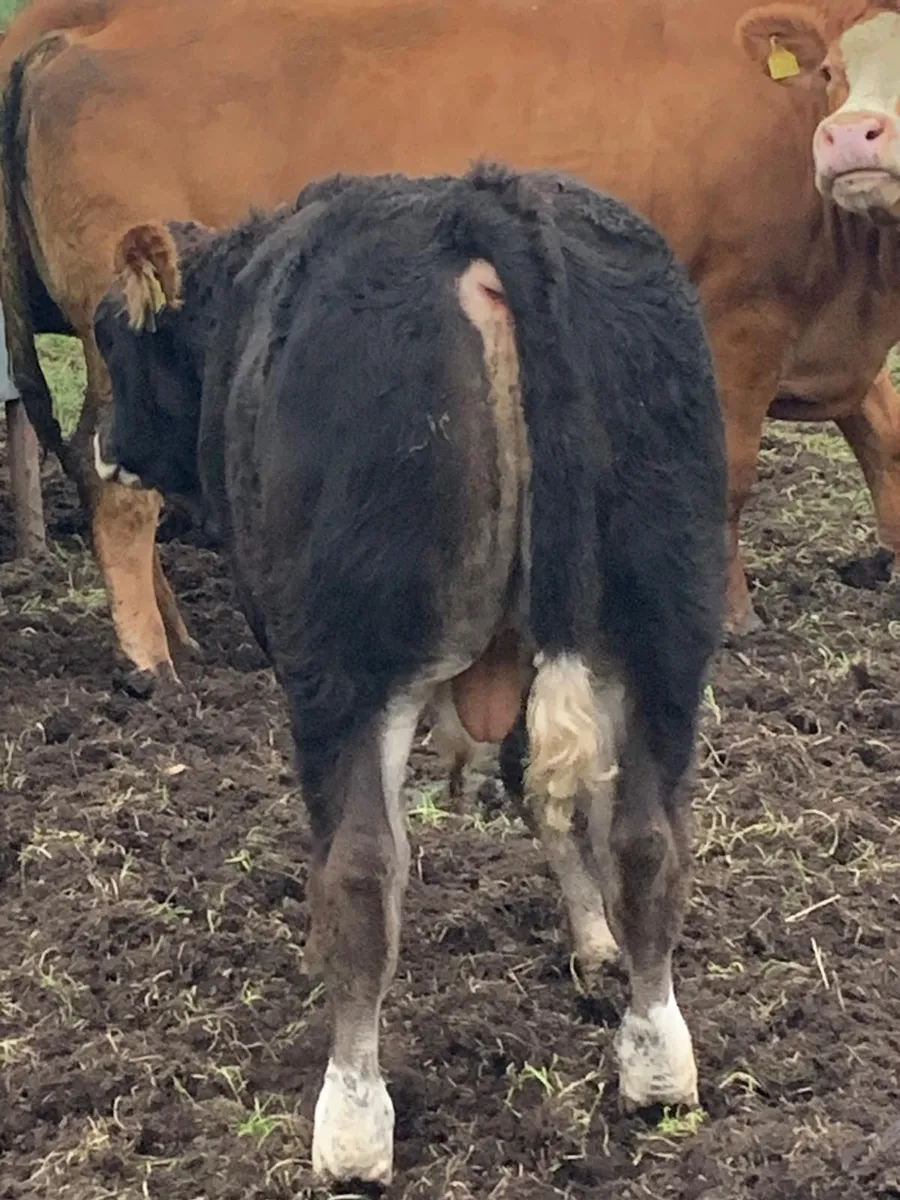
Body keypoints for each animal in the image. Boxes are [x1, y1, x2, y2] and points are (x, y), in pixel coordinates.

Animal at [5, 0, 900, 687]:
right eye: (831, 72)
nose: (854, 137)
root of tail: (73, 45)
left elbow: (884, 438)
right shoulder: (739, 323)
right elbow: (734, 478)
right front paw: (731, 614)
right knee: (117, 492)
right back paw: (151, 665)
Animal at [92, 164, 727, 1183]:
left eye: (114, 337)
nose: (107, 445)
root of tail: (483, 205)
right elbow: (543, 792)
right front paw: (593, 944)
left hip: (347, 668)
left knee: (360, 870)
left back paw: (351, 1123)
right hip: (665, 634)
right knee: (648, 840)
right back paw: (657, 1062)